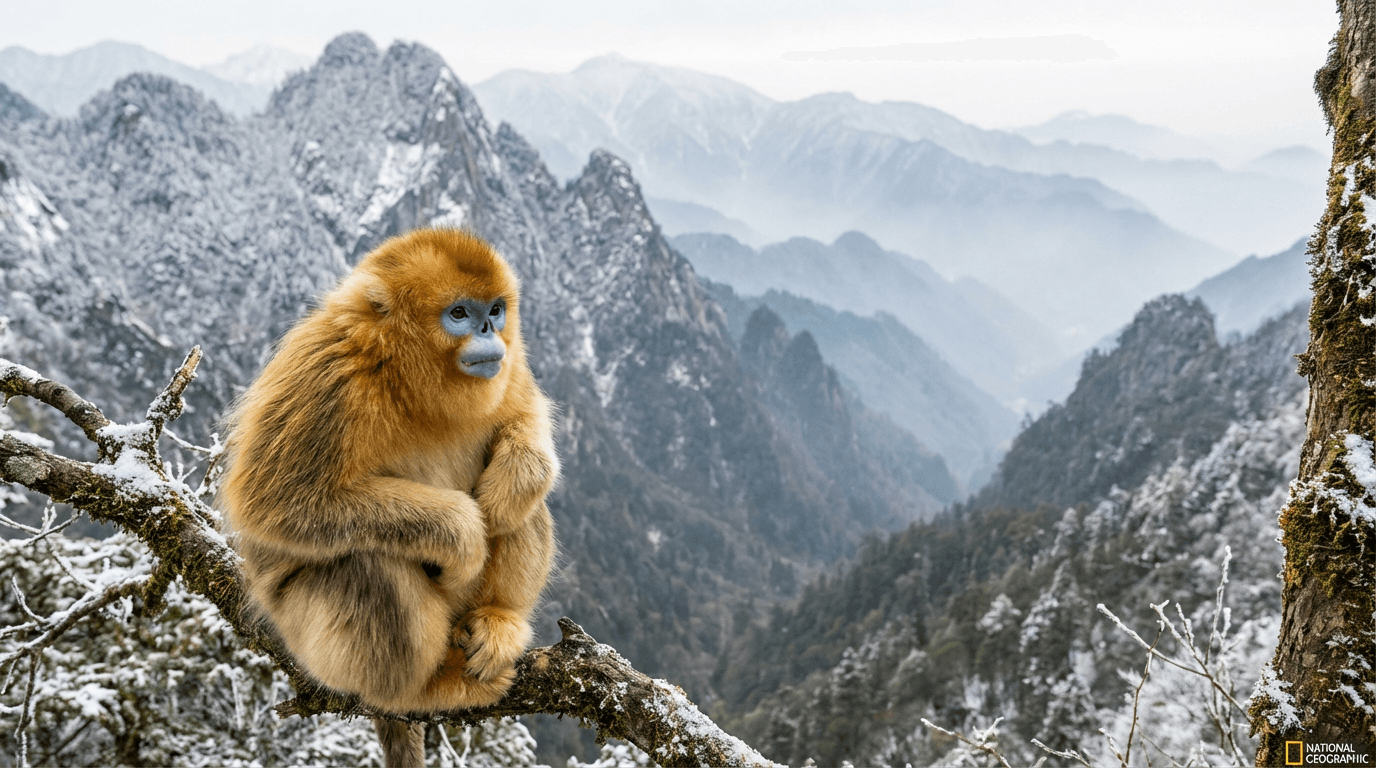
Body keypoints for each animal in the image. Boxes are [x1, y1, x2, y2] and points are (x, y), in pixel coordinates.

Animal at [219, 229, 558, 767]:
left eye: (496, 309)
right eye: (459, 313)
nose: (489, 329)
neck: (404, 373)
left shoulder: (509, 361)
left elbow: (524, 419)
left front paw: (516, 477)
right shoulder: (330, 371)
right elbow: (272, 500)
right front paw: (462, 533)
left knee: (523, 509)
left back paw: (499, 618)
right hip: (308, 639)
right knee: (367, 565)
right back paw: (418, 692)